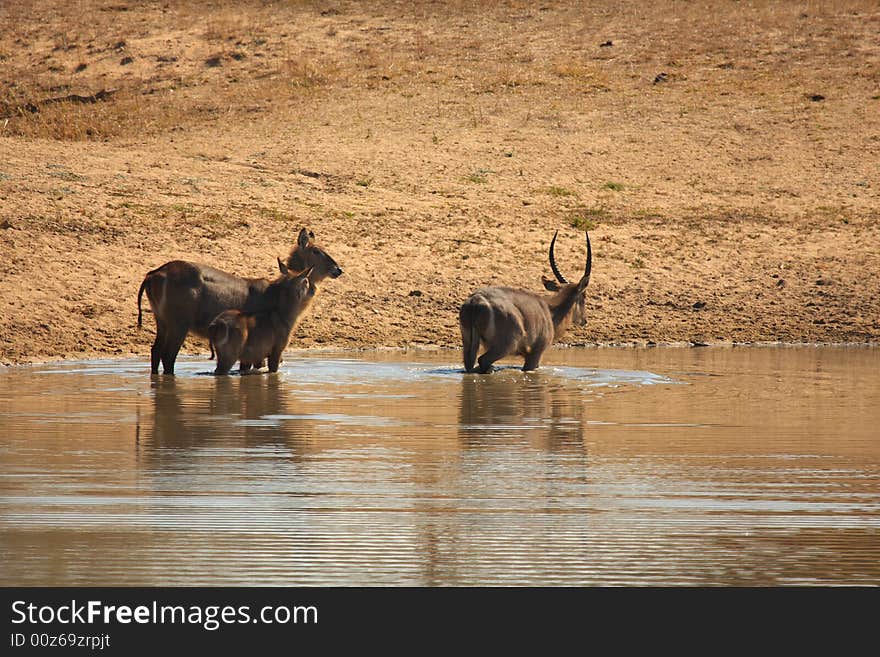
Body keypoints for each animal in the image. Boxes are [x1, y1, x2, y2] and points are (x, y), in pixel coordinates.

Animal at [138, 228, 344, 374]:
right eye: (316, 251)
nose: (338, 269)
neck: (276, 292)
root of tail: (154, 273)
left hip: (162, 321)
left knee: (155, 351)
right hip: (178, 325)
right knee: (168, 356)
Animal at [458, 232, 596, 374]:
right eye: (584, 296)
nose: (585, 320)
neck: (550, 311)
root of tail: (475, 301)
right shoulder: (536, 353)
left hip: (468, 343)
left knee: (470, 366)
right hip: (505, 346)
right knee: (483, 361)